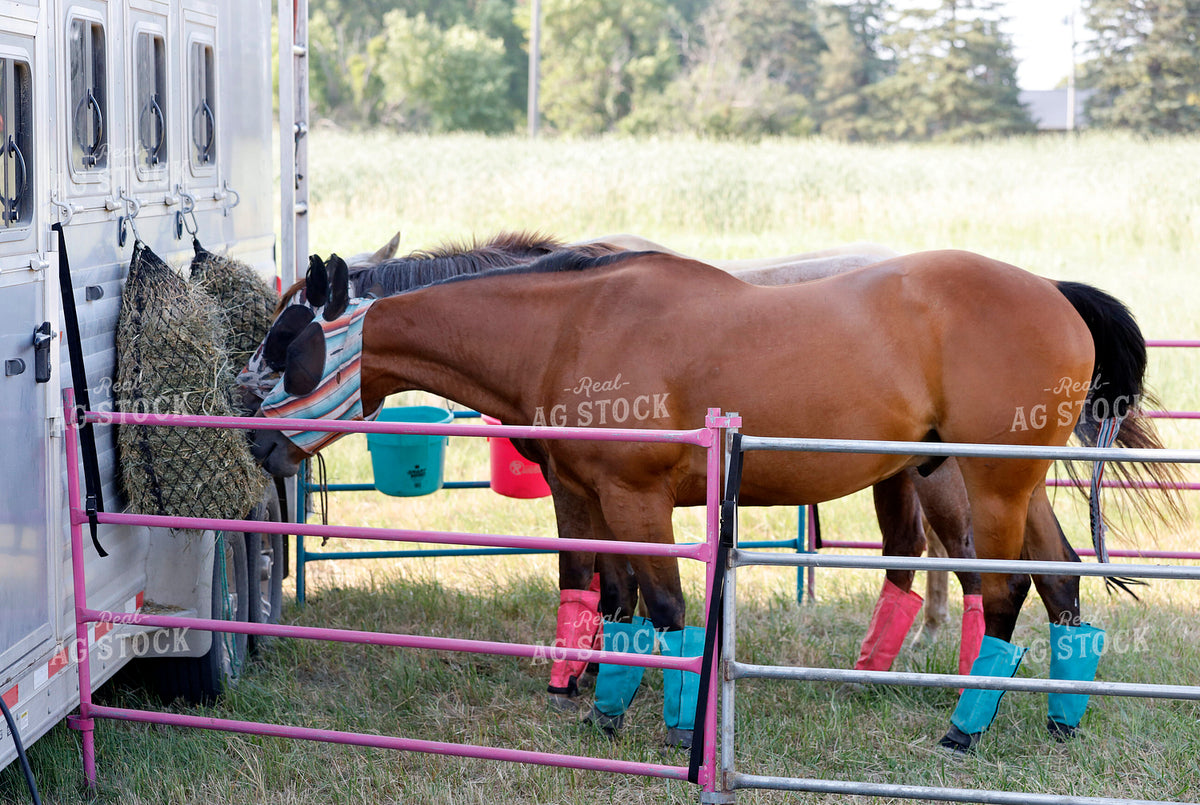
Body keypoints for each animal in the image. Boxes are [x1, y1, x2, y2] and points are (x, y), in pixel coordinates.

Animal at [245, 246, 1177, 753]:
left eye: (288, 341)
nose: (254, 439)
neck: (569, 327)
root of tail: (1054, 292)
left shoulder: (636, 498)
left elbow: (663, 610)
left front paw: (663, 726)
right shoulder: (591, 497)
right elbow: (611, 600)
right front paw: (603, 709)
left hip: (988, 481)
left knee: (1009, 586)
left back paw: (963, 725)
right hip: (1015, 482)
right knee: (1061, 584)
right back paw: (1057, 719)